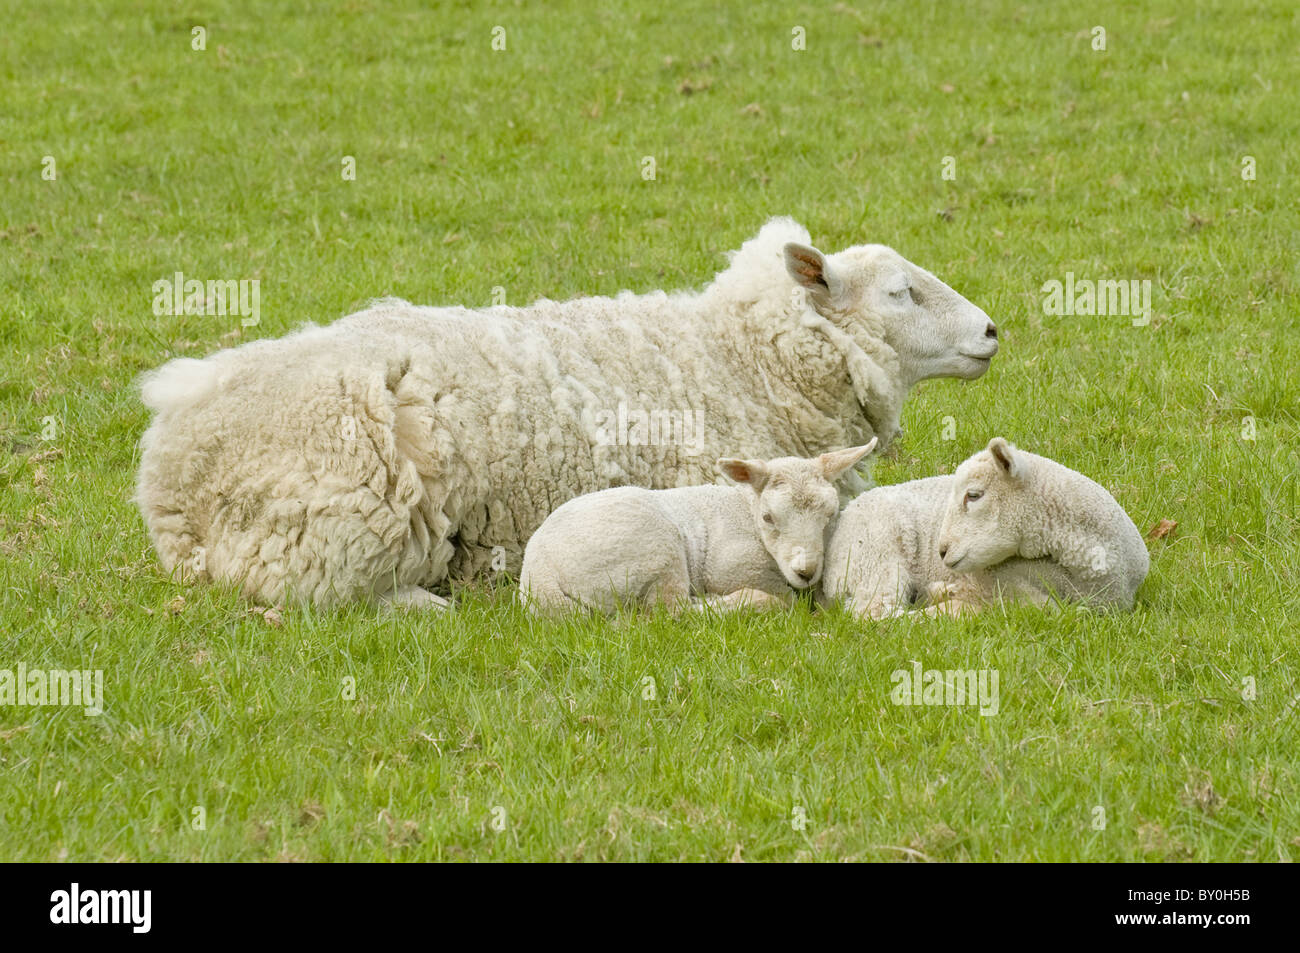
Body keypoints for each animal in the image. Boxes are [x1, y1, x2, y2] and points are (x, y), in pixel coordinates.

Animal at [517, 442, 873, 613]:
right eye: (769, 517)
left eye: (829, 515)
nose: (806, 571)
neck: (744, 509)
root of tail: (540, 577)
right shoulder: (728, 567)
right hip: (655, 549)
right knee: (668, 613)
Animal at [821, 439, 1149, 616]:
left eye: (974, 495)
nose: (941, 551)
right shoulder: (996, 583)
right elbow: (1046, 608)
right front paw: (950, 598)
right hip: (874, 559)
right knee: (874, 614)